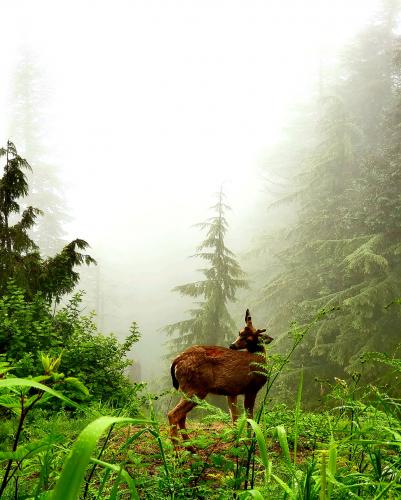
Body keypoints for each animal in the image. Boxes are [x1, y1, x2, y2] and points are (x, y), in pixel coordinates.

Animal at [167, 310, 274, 448]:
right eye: (239, 333)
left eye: (249, 338)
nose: (232, 345)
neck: (259, 359)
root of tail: (177, 360)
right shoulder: (251, 388)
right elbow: (249, 416)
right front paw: (249, 440)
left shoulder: (232, 391)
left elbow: (234, 415)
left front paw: (236, 440)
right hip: (196, 388)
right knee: (173, 414)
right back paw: (178, 451)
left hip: (187, 389)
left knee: (181, 416)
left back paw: (190, 447)